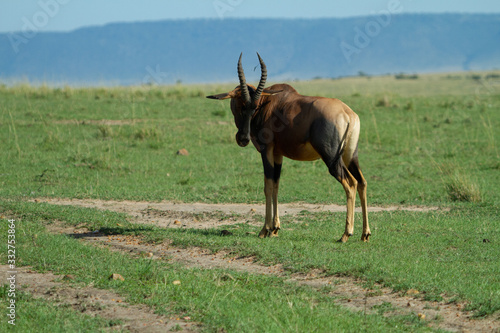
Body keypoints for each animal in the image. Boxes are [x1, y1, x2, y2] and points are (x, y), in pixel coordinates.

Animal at [207, 53, 372, 241]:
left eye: (254, 107)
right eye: (241, 105)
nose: (243, 139)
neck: (270, 103)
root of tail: (347, 113)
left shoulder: (266, 150)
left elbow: (268, 185)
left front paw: (265, 230)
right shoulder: (278, 154)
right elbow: (276, 185)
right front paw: (275, 228)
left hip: (331, 158)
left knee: (350, 183)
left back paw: (346, 234)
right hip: (350, 155)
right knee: (362, 182)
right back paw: (365, 234)